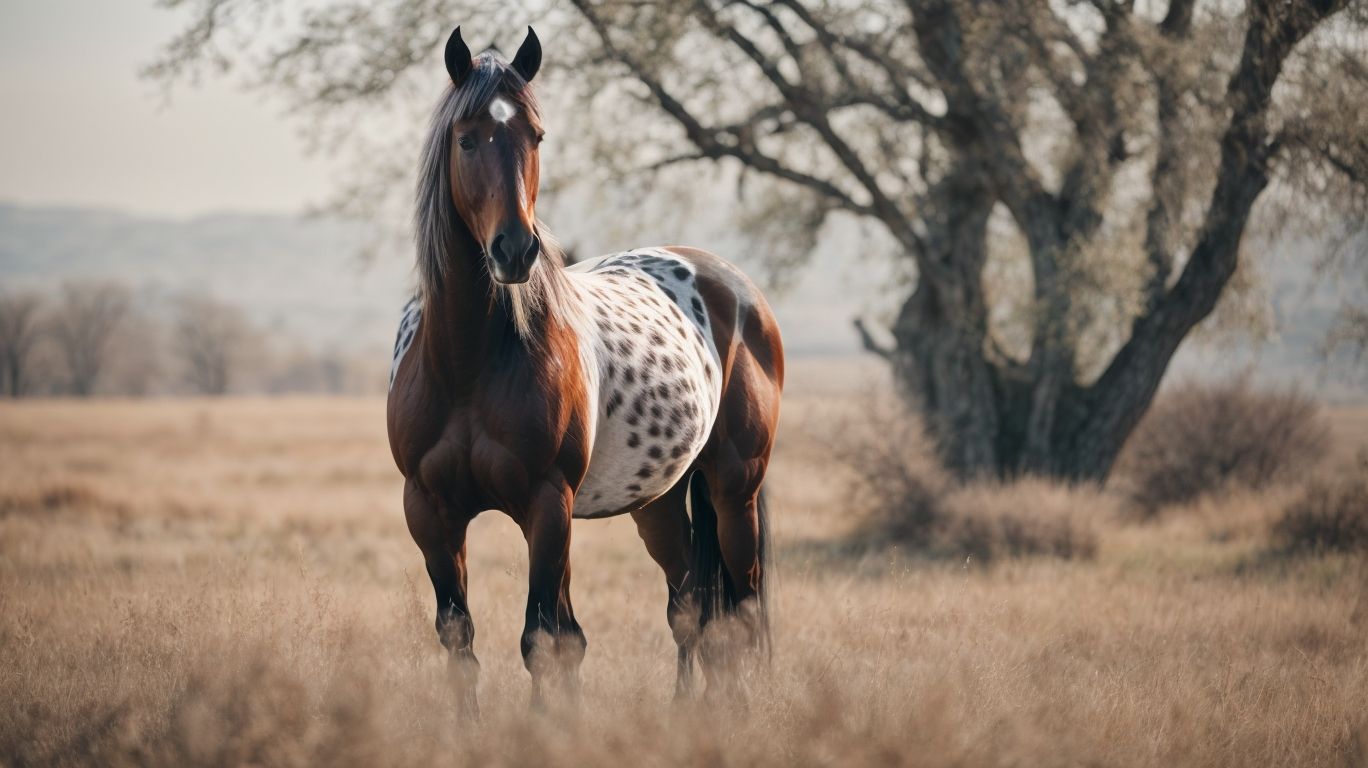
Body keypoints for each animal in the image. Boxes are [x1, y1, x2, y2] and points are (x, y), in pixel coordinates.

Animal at [386, 25, 784, 713]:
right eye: (466, 137)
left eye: (536, 136)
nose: (515, 250)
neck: (467, 364)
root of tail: (737, 287)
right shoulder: (430, 512)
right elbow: (462, 640)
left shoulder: (547, 506)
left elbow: (544, 640)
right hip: (659, 500)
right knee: (689, 606)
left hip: (735, 488)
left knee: (742, 611)